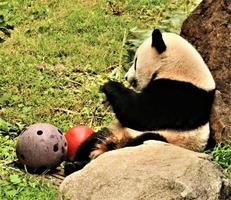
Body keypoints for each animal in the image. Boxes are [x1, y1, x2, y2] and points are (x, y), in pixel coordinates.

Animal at [64, 28, 216, 174]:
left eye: (136, 61)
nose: (126, 77)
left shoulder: (181, 94)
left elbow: (140, 113)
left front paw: (110, 85)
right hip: (115, 130)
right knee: (94, 140)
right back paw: (76, 162)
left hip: (169, 140)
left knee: (142, 141)